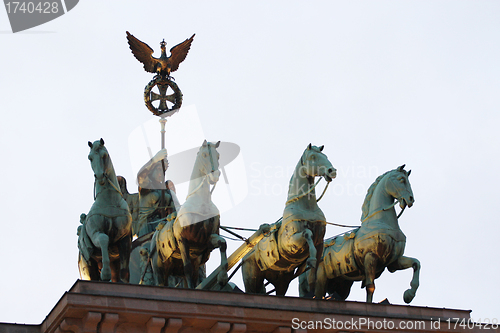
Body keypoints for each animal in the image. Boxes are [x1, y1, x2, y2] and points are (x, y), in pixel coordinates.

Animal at [78, 139, 133, 282]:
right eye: (90, 157)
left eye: (104, 155)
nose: (100, 176)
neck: (109, 201)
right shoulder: (95, 233)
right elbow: (104, 238)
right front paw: (105, 273)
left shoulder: (125, 239)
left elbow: (124, 272)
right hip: (87, 266)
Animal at [241, 144, 336, 294]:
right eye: (312, 157)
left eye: (325, 156)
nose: (332, 171)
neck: (306, 206)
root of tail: (245, 256)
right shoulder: (290, 242)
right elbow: (307, 233)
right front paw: (311, 260)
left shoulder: (320, 242)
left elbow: (313, 275)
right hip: (252, 278)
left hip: (282, 281)